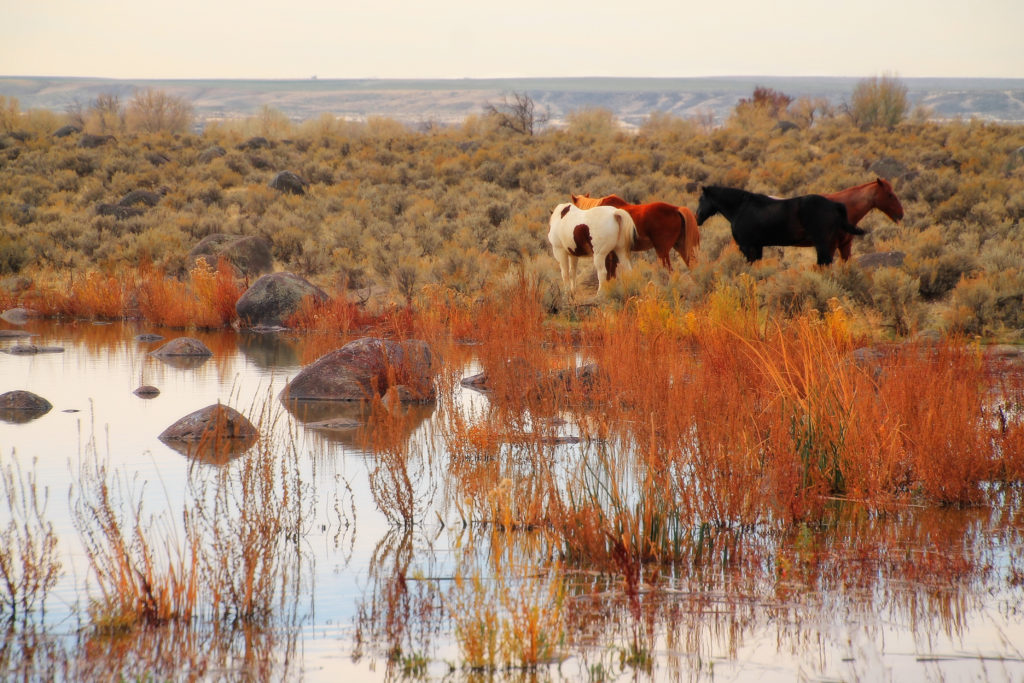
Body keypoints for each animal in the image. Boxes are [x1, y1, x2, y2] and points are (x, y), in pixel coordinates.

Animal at [692, 185, 868, 266]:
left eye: (701, 199)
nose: (697, 218)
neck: (740, 208)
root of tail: (834, 205)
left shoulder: (747, 247)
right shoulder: (757, 246)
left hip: (823, 243)